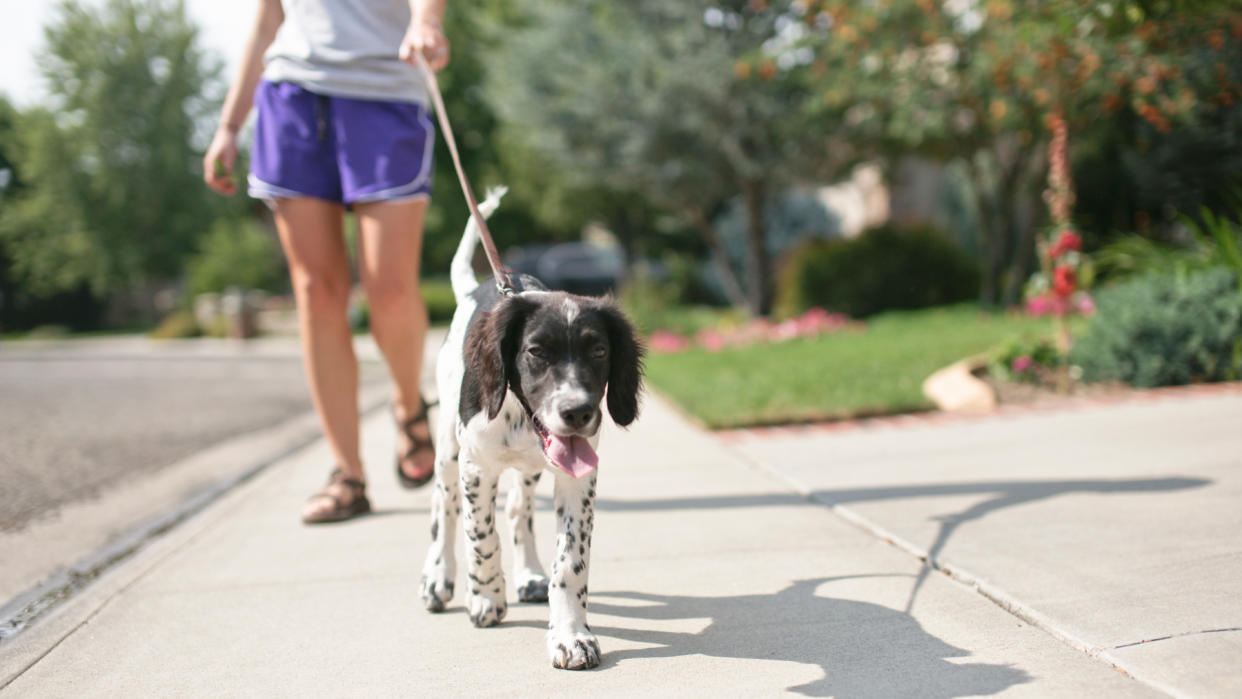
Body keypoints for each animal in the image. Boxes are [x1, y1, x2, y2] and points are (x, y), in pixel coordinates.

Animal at [422, 188, 645, 670]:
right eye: (536, 352)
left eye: (599, 351)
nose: (578, 412)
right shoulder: (476, 467)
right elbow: (480, 535)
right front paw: (485, 598)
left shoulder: (578, 478)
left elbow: (571, 562)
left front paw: (571, 634)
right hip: (448, 450)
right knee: (443, 508)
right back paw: (438, 578)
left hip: (529, 469)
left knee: (517, 510)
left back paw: (528, 575)